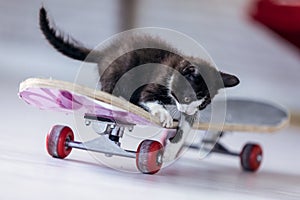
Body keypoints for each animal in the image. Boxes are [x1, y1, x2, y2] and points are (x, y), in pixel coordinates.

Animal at [38, 7, 239, 127]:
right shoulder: (154, 82)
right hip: (120, 66)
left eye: (203, 105)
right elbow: (149, 98)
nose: (188, 112)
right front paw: (165, 115)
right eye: (187, 98)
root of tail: (105, 51)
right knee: (108, 87)